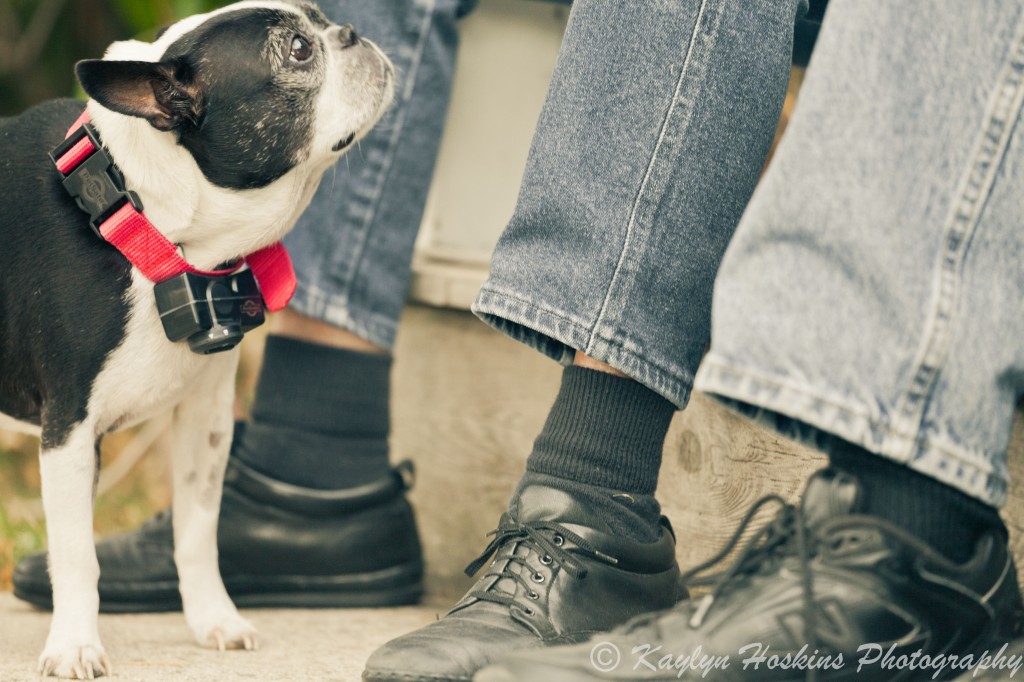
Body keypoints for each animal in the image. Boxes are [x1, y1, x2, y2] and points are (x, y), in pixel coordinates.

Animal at [1, 0, 391, 675]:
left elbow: (197, 531)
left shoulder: (204, 417)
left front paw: (214, 619)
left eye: (321, 19)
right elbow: (77, 555)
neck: (141, 217)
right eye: (297, 52)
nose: (352, 33)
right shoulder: (69, 431)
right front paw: (75, 643)